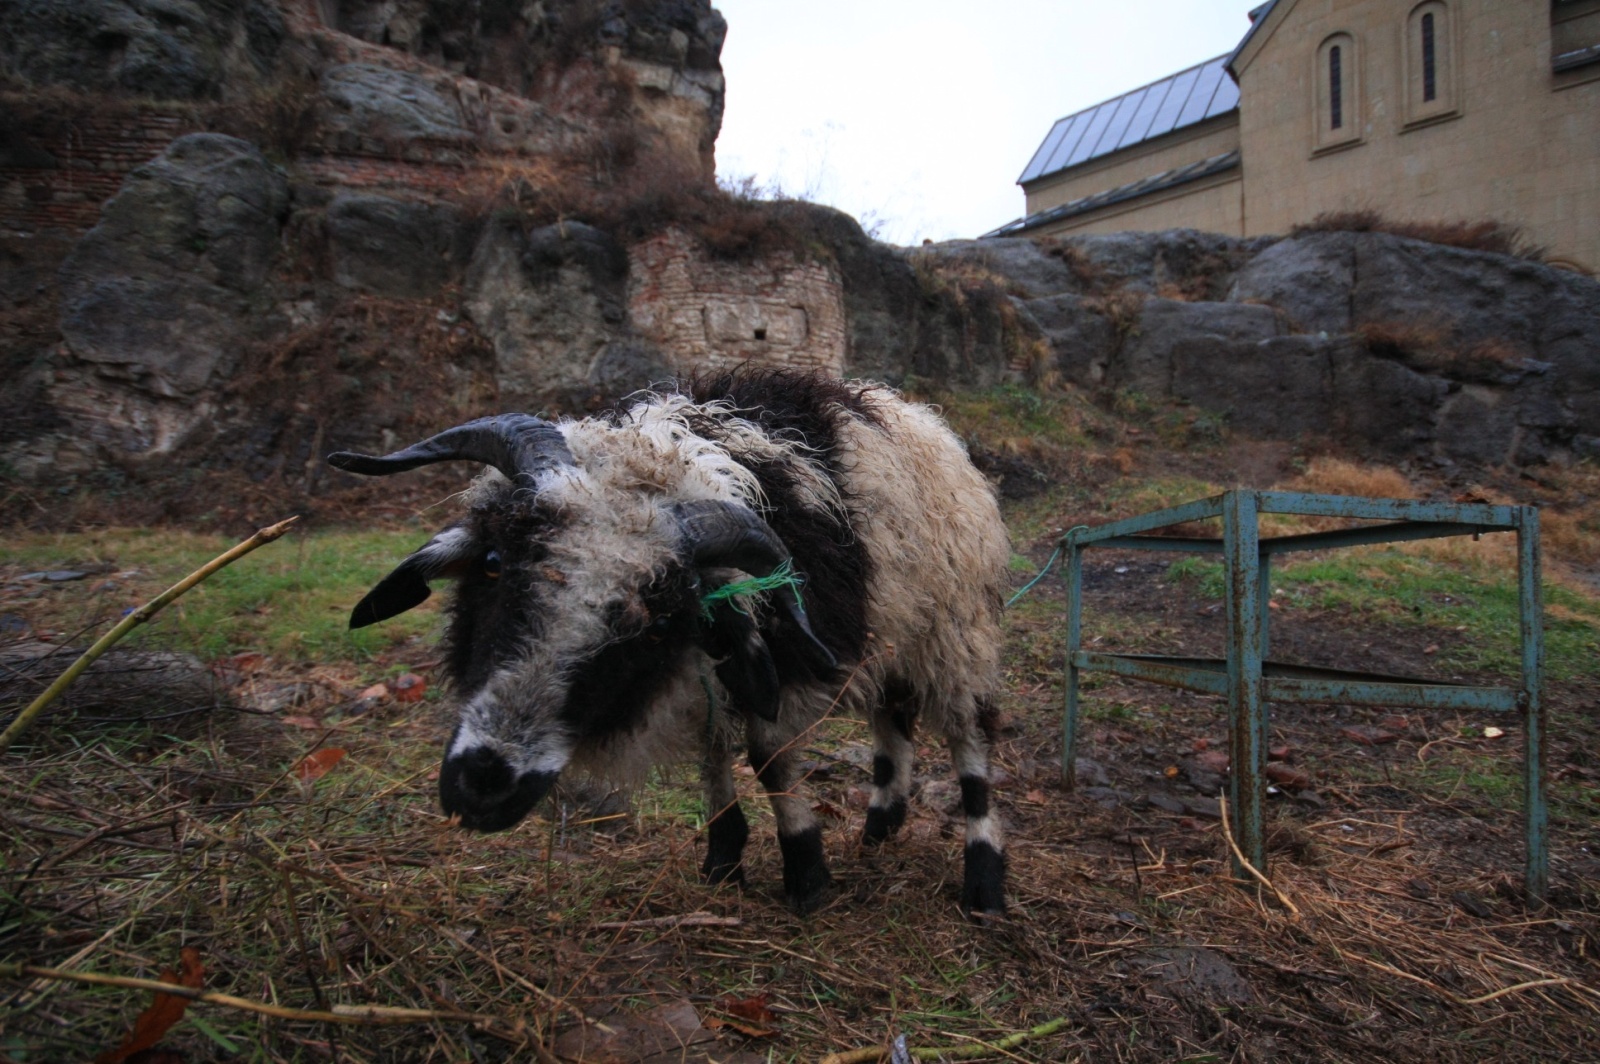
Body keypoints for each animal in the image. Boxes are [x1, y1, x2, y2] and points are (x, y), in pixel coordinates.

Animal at [331, 368, 1011, 915]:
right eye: (493, 564)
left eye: (655, 624)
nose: (485, 784)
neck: (673, 464)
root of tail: (904, 407)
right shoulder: (706, 669)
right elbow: (712, 752)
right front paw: (724, 861)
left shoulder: (786, 661)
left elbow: (770, 759)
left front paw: (806, 873)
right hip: (895, 626)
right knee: (893, 714)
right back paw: (880, 824)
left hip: (955, 627)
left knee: (967, 736)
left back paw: (983, 881)